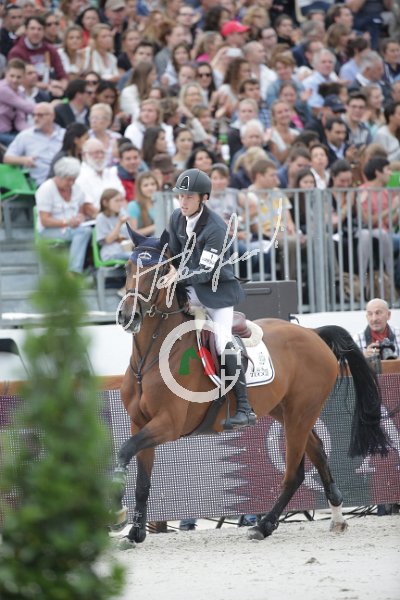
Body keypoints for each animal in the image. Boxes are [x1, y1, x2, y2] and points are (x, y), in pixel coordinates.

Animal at [113, 229, 389, 544]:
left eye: (158, 271)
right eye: (127, 269)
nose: (128, 316)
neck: (150, 357)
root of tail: (312, 333)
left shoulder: (168, 424)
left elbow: (124, 451)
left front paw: (116, 512)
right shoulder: (139, 422)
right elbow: (141, 479)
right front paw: (135, 532)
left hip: (301, 413)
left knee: (294, 473)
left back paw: (264, 525)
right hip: (287, 412)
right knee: (317, 453)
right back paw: (337, 518)